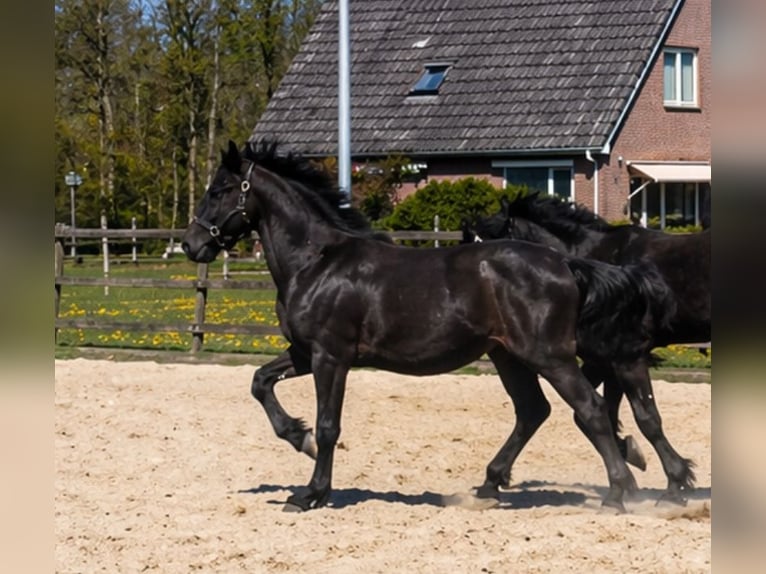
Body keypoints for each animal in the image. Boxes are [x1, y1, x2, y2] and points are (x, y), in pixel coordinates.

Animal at [182, 140, 672, 512]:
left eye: (221, 189)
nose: (191, 244)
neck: (316, 261)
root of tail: (566, 263)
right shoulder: (304, 353)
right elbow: (259, 382)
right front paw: (296, 437)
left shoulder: (330, 356)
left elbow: (328, 426)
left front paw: (311, 493)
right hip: (508, 356)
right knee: (535, 411)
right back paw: (490, 486)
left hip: (549, 356)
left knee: (590, 409)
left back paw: (618, 493)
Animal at [462, 192, 708, 503]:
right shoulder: (607, 360)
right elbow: (602, 413)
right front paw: (630, 458)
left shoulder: (616, 355)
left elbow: (636, 416)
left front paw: (668, 479)